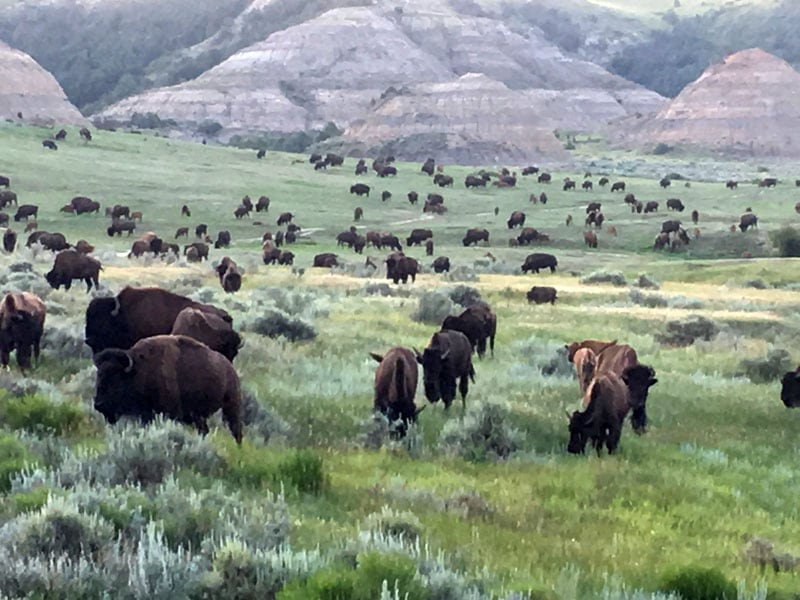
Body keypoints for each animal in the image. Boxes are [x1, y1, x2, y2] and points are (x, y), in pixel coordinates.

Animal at [92, 336, 242, 442]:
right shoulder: (147, 414)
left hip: (231, 406)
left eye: (115, 377)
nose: (98, 404)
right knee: (204, 430)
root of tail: (230, 369)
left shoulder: (170, 413)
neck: (138, 370)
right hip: (198, 416)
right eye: (98, 375)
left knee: (236, 430)